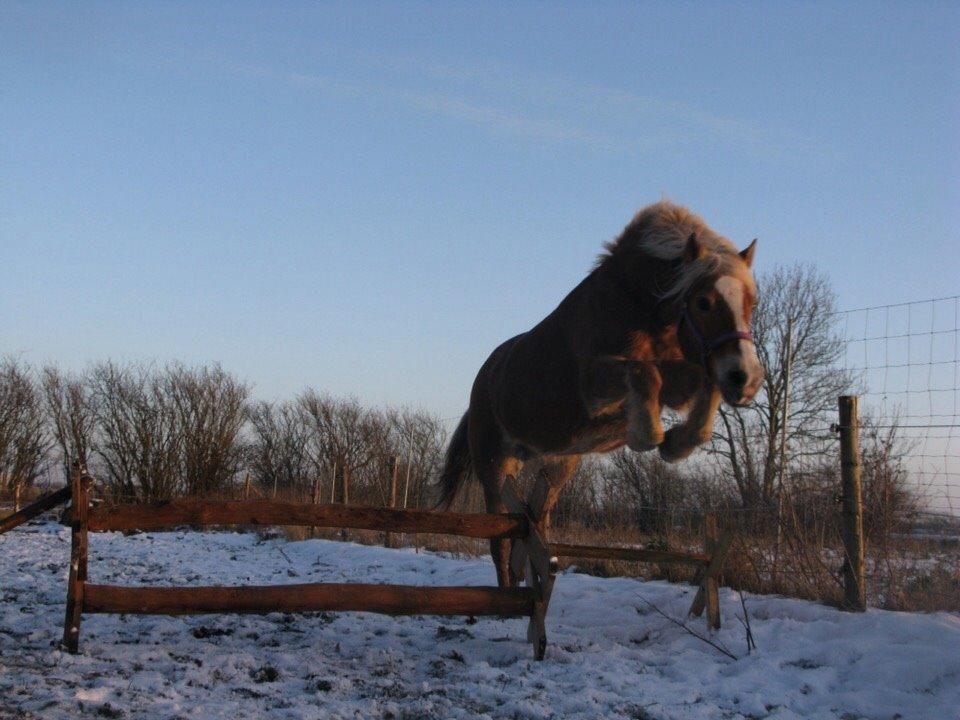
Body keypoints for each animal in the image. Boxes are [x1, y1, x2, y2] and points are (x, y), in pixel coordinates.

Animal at [436, 200, 764, 588]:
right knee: (500, 542)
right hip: (496, 465)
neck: (639, 305)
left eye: (752, 303)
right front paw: (649, 436)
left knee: (533, 530)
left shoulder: (681, 379)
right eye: (703, 302)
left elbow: (704, 384)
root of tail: (482, 381)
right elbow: (644, 373)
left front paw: (675, 443)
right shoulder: (596, 385)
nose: (746, 378)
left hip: (556, 467)